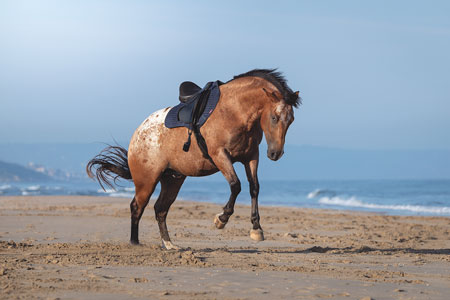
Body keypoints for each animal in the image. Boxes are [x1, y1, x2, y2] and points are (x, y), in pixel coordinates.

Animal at [86, 69, 300, 250]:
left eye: (291, 120)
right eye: (274, 117)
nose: (275, 154)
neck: (234, 111)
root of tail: (138, 133)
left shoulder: (251, 157)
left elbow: (254, 187)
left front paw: (256, 229)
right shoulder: (220, 155)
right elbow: (236, 185)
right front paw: (221, 219)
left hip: (173, 179)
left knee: (160, 209)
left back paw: (169, 244)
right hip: (147, 181)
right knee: (137, 207)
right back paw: (135, 242)